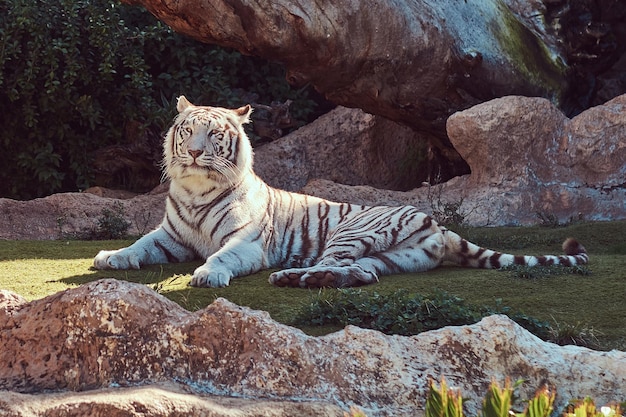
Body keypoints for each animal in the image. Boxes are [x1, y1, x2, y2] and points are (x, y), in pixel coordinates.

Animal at [92, 96, 584, 288]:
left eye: (213, 135)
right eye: (187, 131)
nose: (194, 152)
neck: (195, 191)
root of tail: (437, 223)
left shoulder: (246, 242)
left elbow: (223, 256)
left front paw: (208, 275)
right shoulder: (170, 236)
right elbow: (139, 244)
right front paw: (110, 258)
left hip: (352, 233)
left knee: (336, 264)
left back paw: (294, 276)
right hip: (395, 258)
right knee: (362, 273)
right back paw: (311, 279)